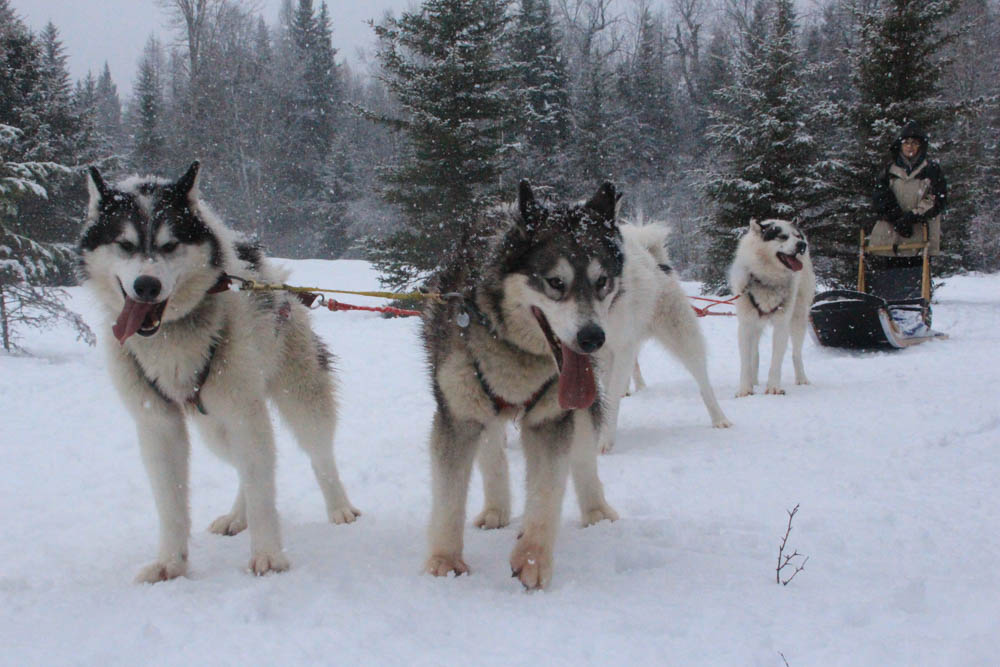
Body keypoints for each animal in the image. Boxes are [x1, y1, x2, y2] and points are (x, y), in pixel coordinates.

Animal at [79, 163, 360, 584]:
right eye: (124, 244)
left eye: (170, 245)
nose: (147, 285)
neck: (172, 336)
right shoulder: (157, 424)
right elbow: (171, 504)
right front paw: (171, 562)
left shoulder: (245, 413)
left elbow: (264, 493)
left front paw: (268, 555)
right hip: (215, 427)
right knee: (246, 466)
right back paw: (236, 516)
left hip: (298, 398)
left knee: (317, 454)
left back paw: (339, 506)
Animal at [422, 179, 624, 588]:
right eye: (555, 283)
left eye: (602, 281)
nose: (593, 338)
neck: (513, 349)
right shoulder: (458, 417)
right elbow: (449, 496)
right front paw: (445, 559)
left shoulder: (550, 420)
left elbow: (546, 492)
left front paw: (532, 559)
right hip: (479, 404)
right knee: (491, 450)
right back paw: (497, 508)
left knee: (582, 457)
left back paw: (595, 510)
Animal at [592, 224, 736, 454]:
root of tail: (657, 261)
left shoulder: (619, 348)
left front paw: (603, 440)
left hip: (682, 338)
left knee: (703, 381)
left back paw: (719, 418)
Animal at [732, 218, 816, 396]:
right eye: (782, 236)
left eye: (797, 236)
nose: (802, 244)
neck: (768, 279)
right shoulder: (746, 325)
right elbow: (746, 361)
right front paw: (745, 389)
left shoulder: (781, 324)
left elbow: (776, 360)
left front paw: (773, 387)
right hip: (755, 324)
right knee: (754, 353)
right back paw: (753, 380)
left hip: (798, 319)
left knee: (796, 353)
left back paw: (801, 378)